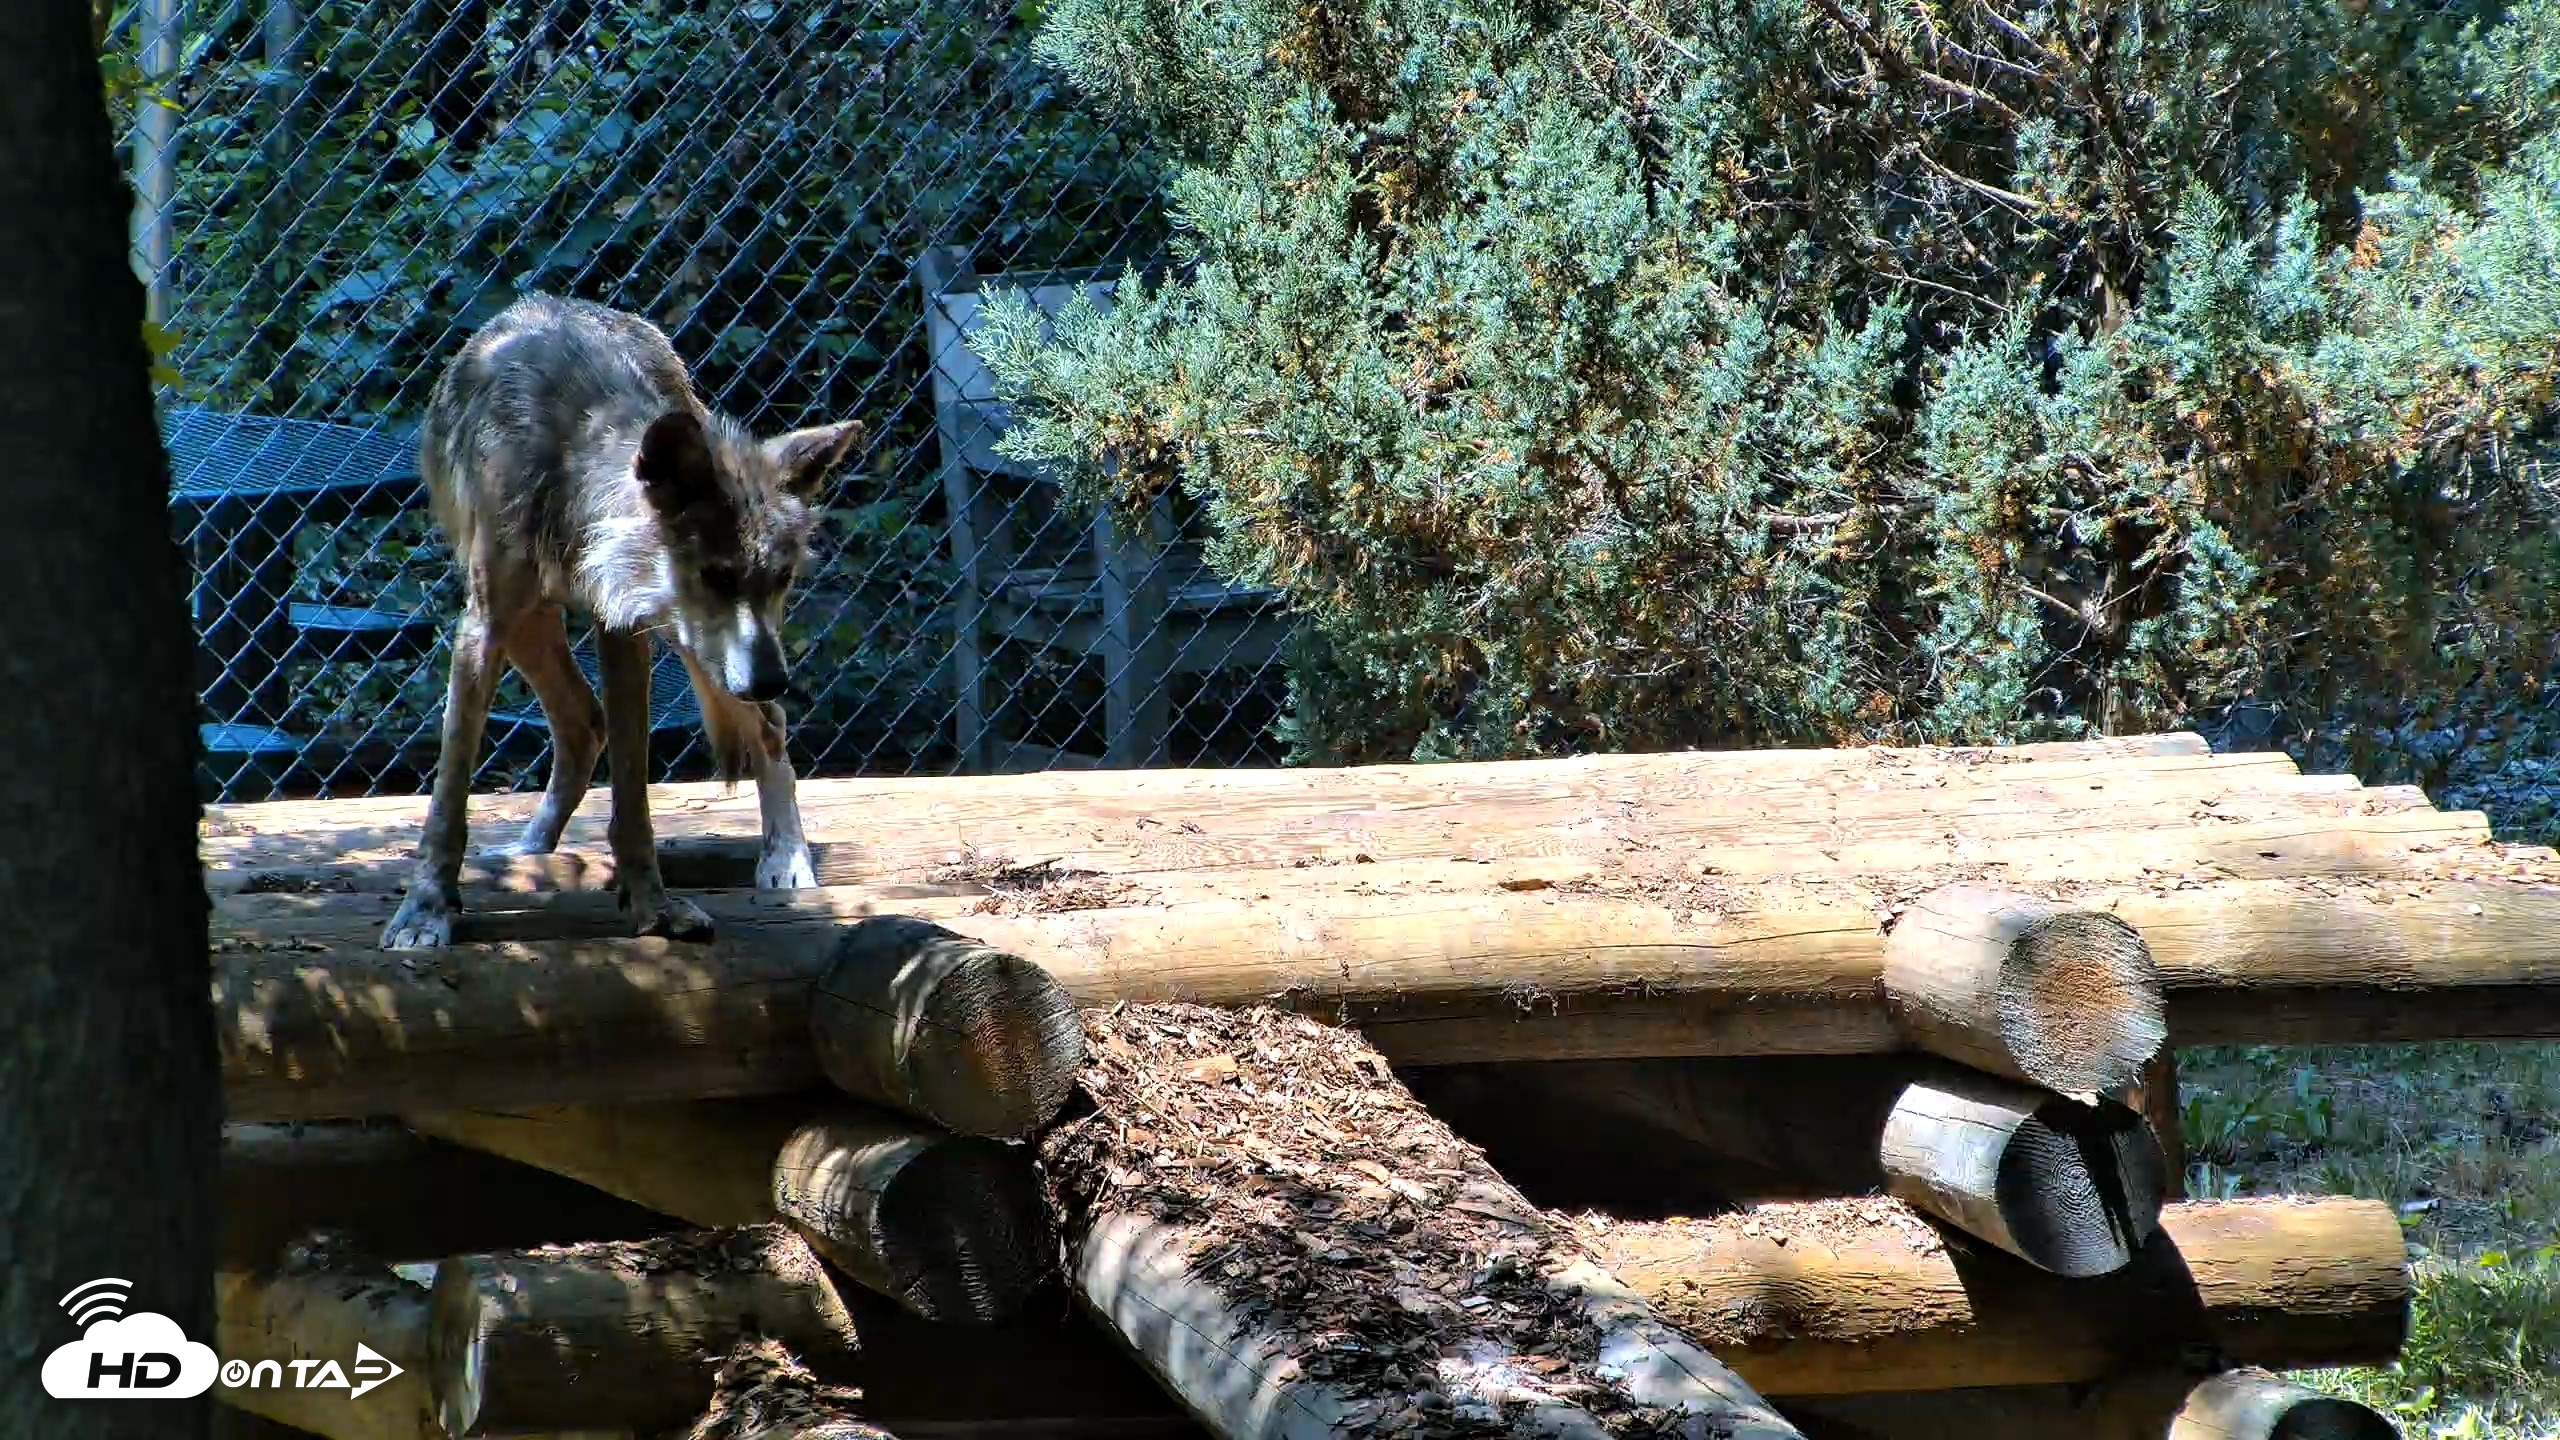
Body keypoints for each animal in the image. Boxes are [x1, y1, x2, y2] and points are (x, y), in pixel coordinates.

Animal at [380, 294, 864, 951]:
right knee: (583, 722)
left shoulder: (624, 631)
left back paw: (786, 858)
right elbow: (450, 792)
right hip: (537, 626)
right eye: (716, 576)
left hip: (690, 649)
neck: (569, 477)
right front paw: (426, 909)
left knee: (766, 725)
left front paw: (651, 907)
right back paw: (531, 850)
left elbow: (634, 796)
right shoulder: (483, 626)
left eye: (782, 578)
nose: (770, 678)